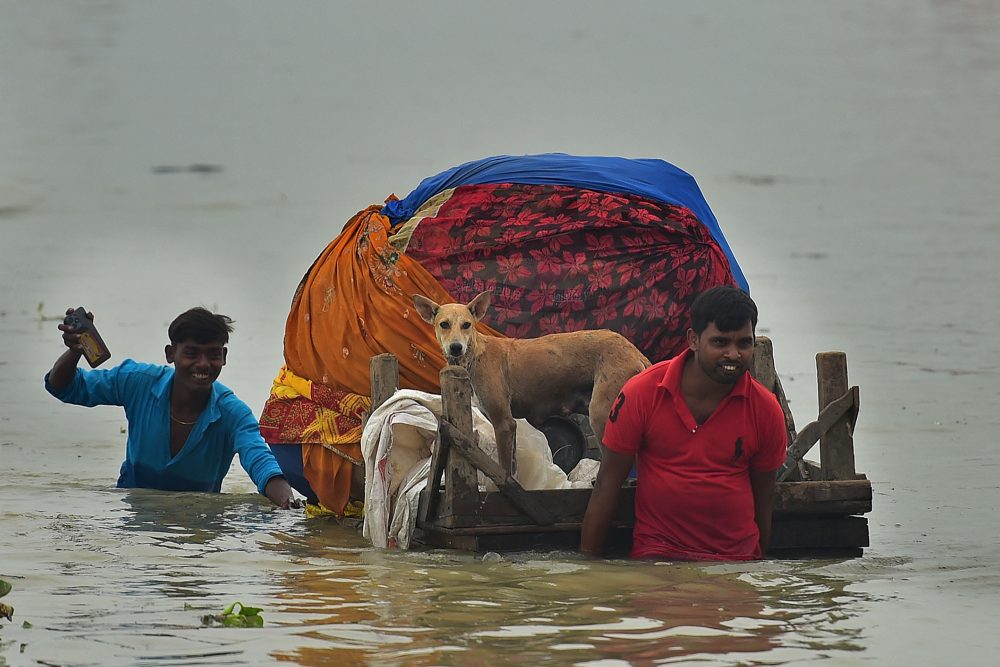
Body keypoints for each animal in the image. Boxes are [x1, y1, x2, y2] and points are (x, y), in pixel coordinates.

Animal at [412, 292, 652, 474]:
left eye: (466, 325)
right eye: (444, 324)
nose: (455, 347)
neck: (474, 355)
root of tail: (634, 351)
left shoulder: (503, 423)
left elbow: (504, 471)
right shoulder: (511, 426)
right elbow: (513, 468)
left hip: (601, 416)